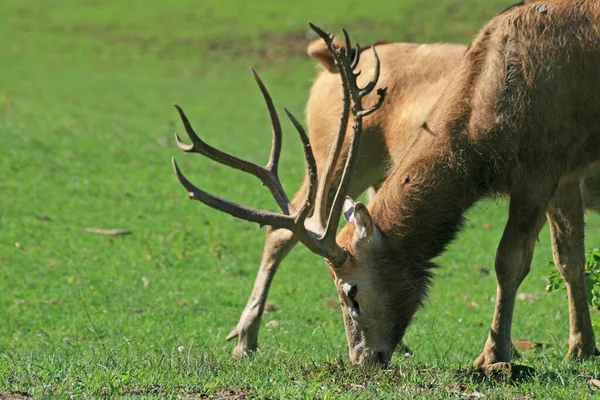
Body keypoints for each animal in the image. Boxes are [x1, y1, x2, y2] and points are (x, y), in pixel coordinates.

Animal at [172, 0, 600, 368]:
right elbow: (556, 259)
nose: (363, 360)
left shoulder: (551, 167)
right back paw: (244, 339)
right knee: (284, 228)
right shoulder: (554, 170)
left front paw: (513, 353)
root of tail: (327, 62)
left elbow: (538, 260)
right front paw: (564, 348)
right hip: (341, 155)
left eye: (351, 292)